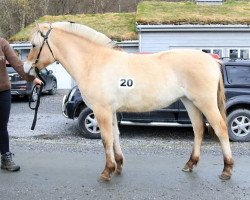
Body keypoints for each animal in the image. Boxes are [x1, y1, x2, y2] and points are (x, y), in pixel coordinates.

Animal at [23, 21, 232, 181]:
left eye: (33, 45)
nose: (26, 67)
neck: (94, 62)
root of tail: (212, 60)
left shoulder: (101, 111)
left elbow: (106, 138)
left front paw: (106, 171)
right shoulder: (111, 111)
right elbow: (115, 135)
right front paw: (118, 166)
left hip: (205, 103)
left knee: (221, 129)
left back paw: (227, 170)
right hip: (190, 102)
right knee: (198, 129)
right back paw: (190, 164)